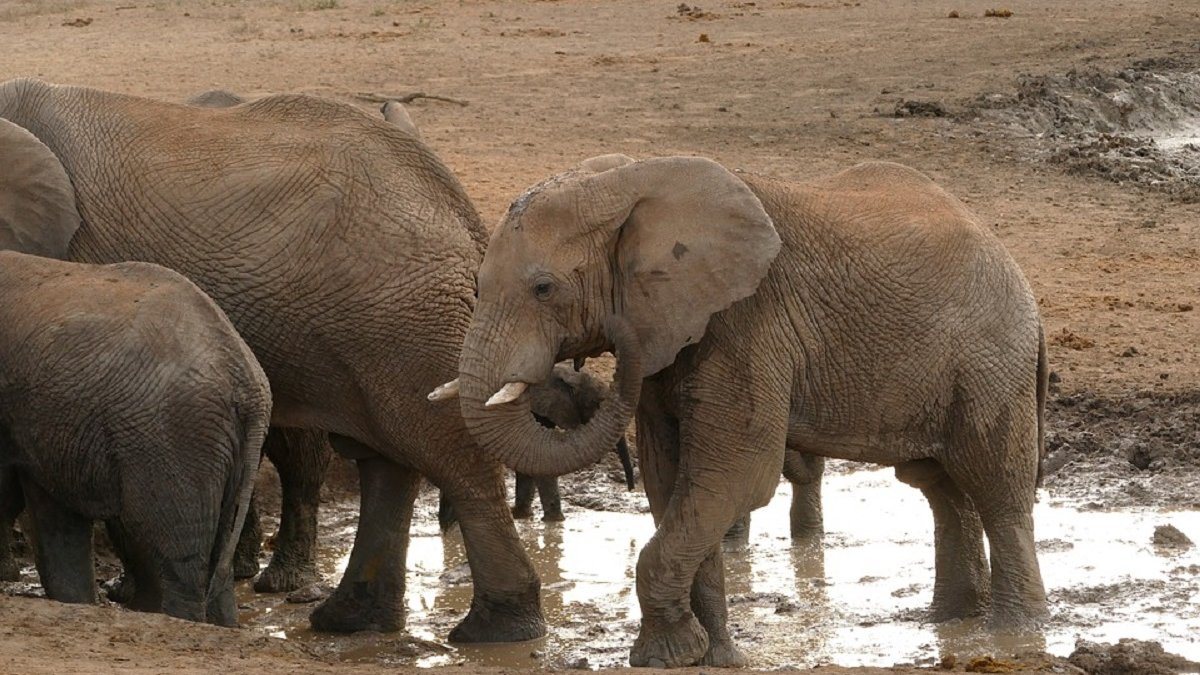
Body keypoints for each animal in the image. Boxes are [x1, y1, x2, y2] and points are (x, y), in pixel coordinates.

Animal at [434, 152, 1051, 662]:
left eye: (544, 288)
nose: (611, 340)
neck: (631, 178)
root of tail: (1015, 269)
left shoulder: (747, 323)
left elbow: (734, 476)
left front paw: (666, 657)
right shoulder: (674, 334)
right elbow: (675, 483)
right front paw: (712, 656)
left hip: (991, 361)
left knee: (994, 484)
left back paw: (1012, 634)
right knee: (941, 487)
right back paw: (950, 621)